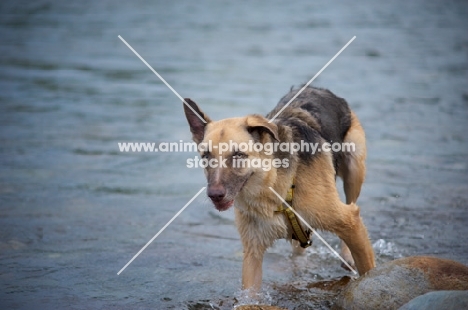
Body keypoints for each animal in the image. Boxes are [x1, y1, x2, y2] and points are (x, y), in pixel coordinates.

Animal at [183, 86, 376, 292]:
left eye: (238, 154)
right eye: (206, 156)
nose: (214, 195)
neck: (275, 187)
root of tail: (318, 89)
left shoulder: (349, 220)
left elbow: (368, 269)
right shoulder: (253, 252)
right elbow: (249, 293)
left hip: (354, 170)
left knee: (352, 202)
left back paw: (347, 255)